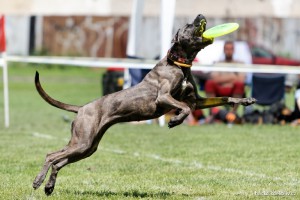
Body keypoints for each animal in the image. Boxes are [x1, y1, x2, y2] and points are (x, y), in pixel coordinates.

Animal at [32, 14, 255, 195]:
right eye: (187, 25)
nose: (200, 15)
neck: (179, 63)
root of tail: (81, 108)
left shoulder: (196, 102)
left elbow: (224, 98)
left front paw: (245, 100)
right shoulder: (164, 98)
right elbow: (182, 108)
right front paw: (175, 120)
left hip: (88, 146)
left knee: (59, 162)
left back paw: (49, 187)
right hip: (83, 140)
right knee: (51, 156)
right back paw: (38, 181)